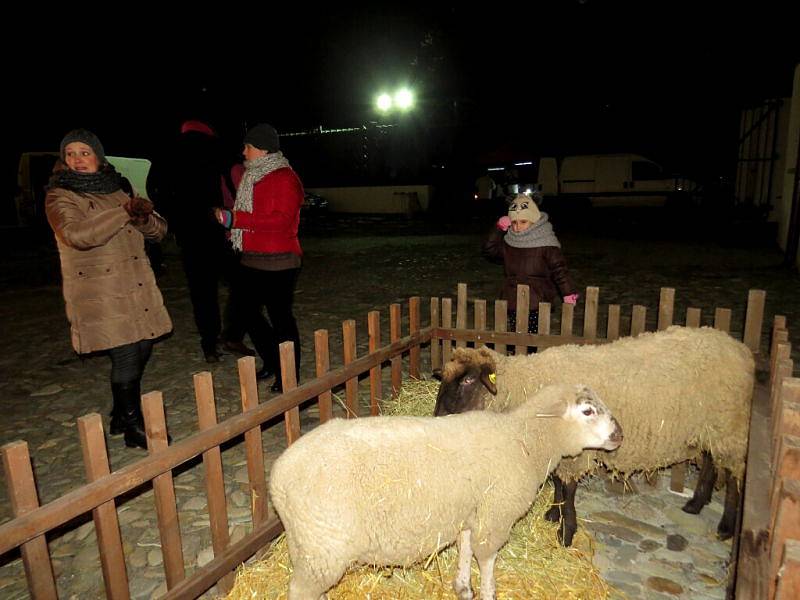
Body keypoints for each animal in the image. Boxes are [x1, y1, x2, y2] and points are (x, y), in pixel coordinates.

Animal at [272, 384, 620, 600]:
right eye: (588, 411)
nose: (620, 434)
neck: (524, 440)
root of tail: (278, 477)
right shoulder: (495, 516)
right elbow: (487, 557)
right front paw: (488, 592)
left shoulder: (470, 511)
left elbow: (465, 548)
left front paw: (463, 586)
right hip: (323, 547)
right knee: (300, 592)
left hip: (309, 546)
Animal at [434, 326, 752, 548]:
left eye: (468, 379)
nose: (437, 417)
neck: (527, 385)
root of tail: (738, 347)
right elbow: (558, 483)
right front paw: (554, 514)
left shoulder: (576, 453)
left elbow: (568, 488)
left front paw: (565, 533)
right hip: (713, 426)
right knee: (711, 460)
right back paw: (697, 503)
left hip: (731, 426)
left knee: (734, 475)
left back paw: (725, 526)